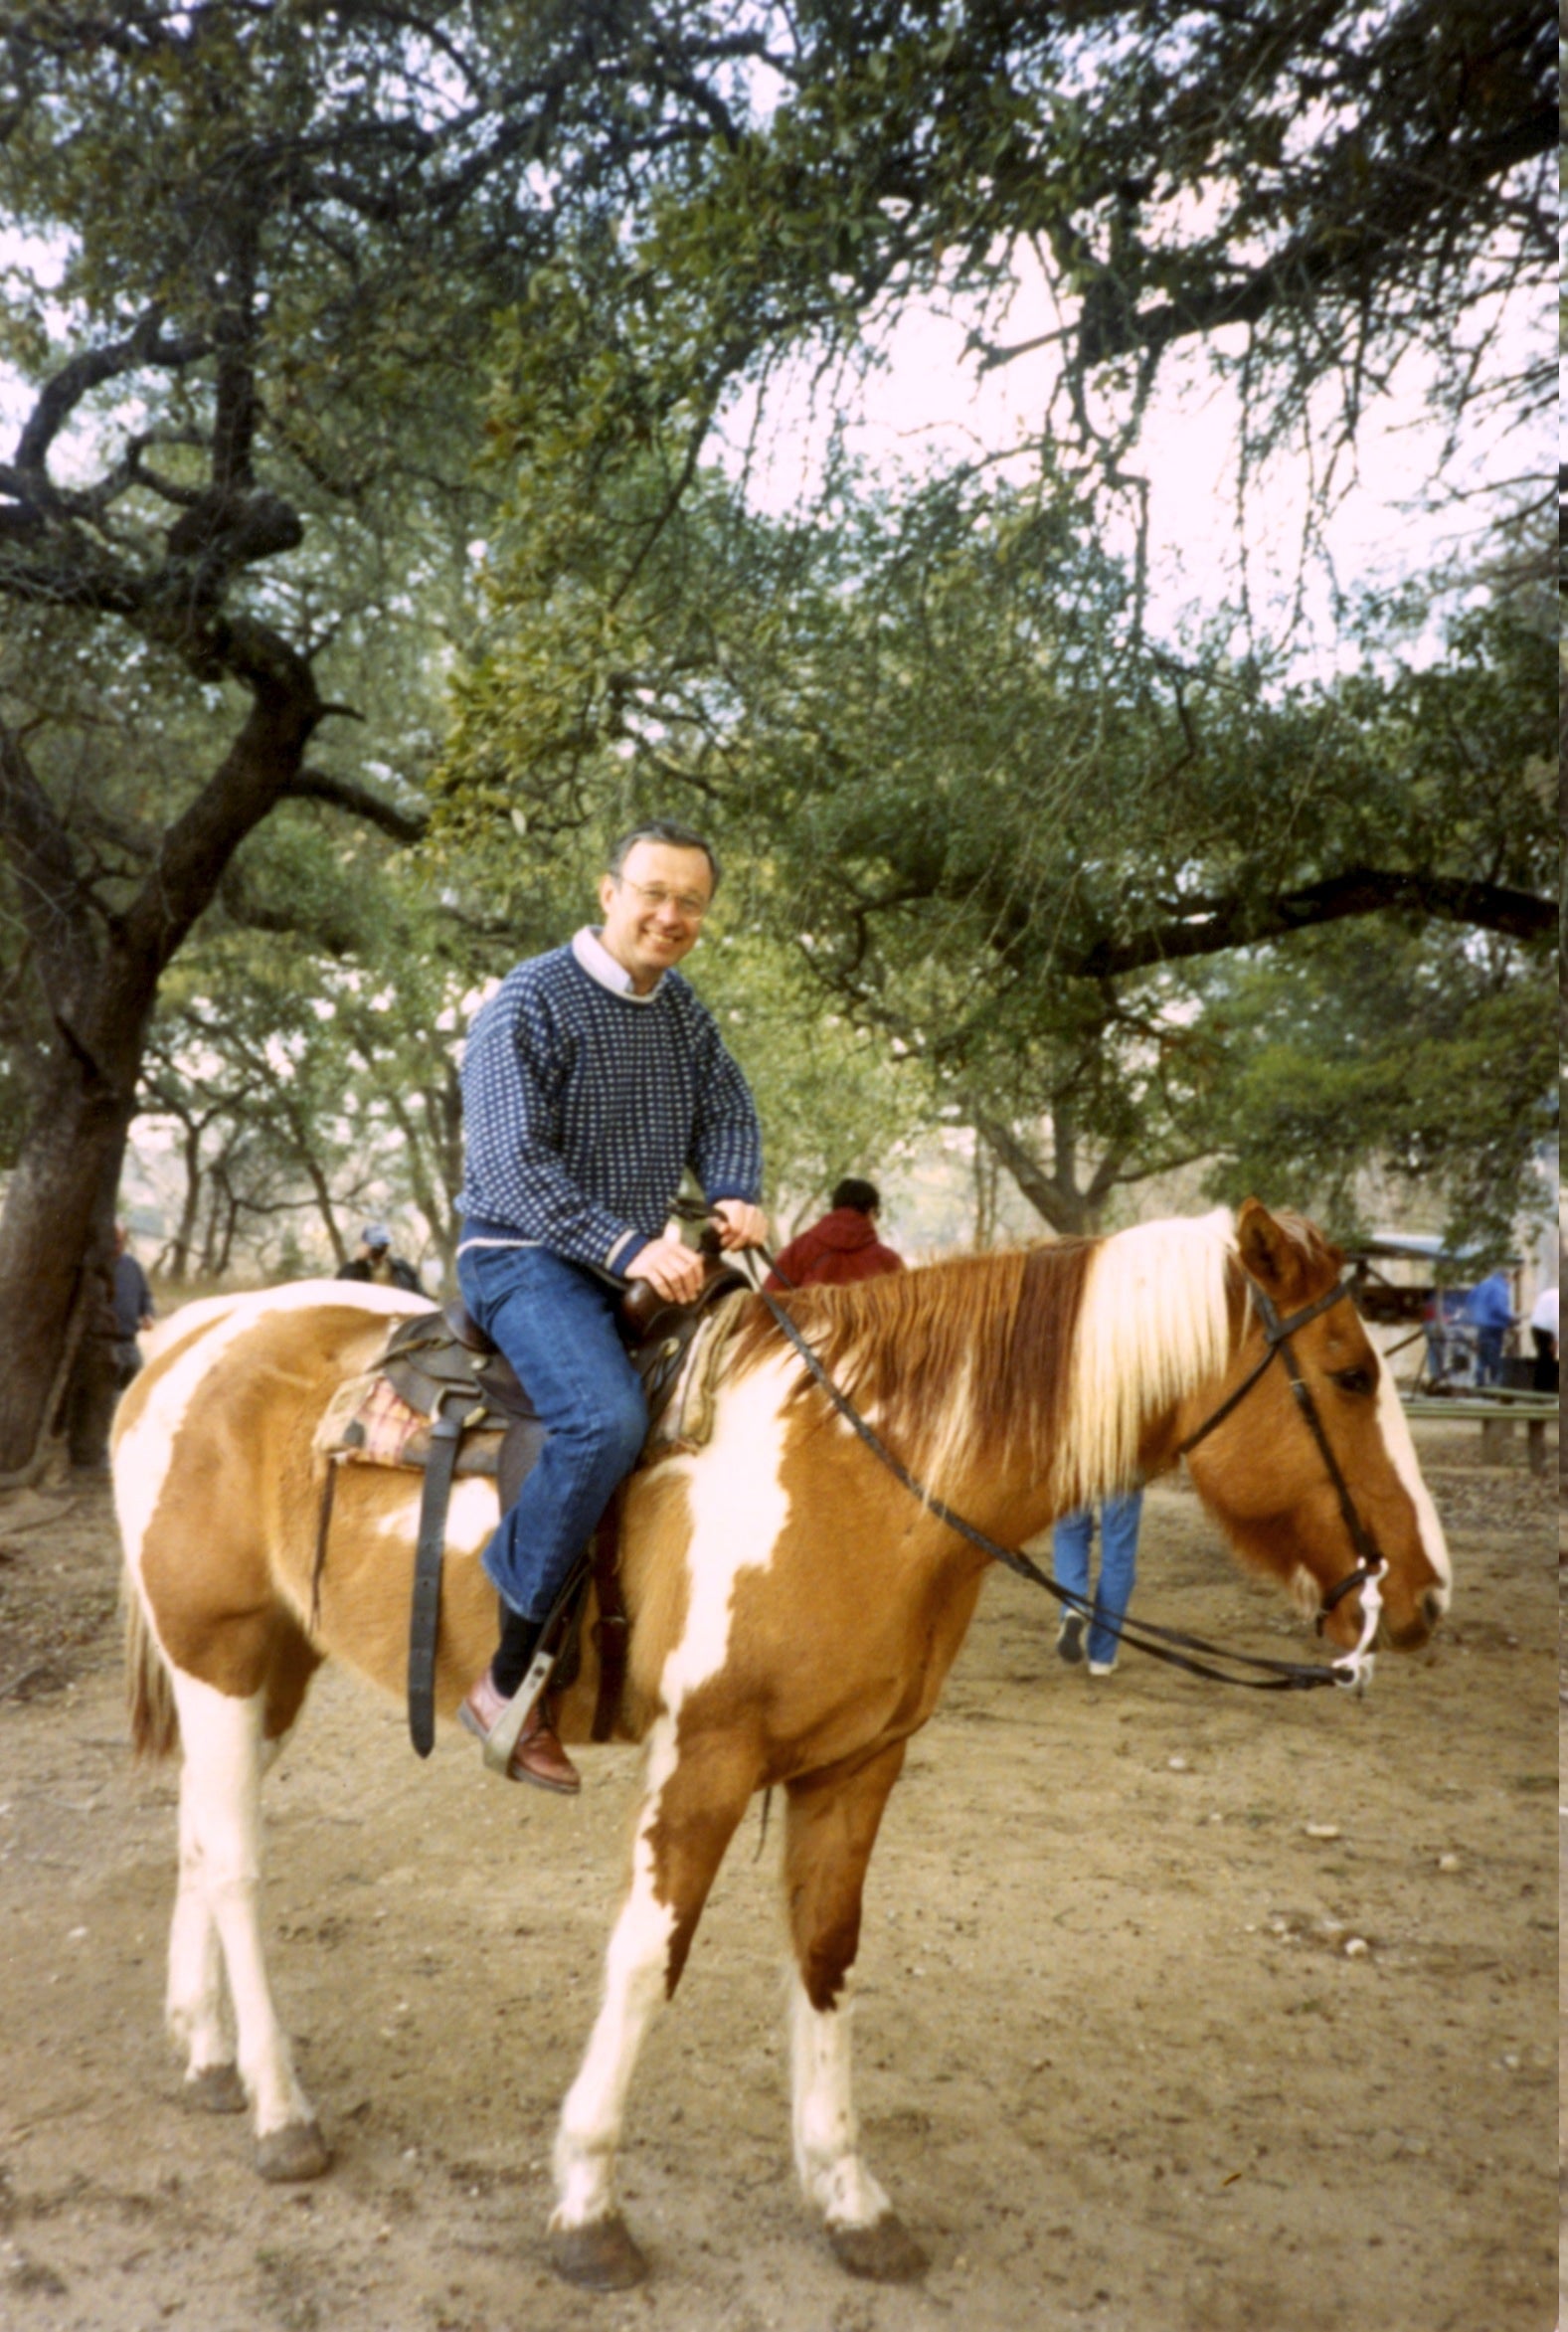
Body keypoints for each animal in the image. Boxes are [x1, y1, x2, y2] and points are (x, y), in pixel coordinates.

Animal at [116, 1212, 1456, 2285]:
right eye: (1346, 1374)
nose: (1425, 1594)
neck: (864, 1467)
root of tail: (189, 1337)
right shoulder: (705, 1759)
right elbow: (646, 1958)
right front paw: (587, 2201)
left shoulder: (855, 1763)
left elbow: (824, 1952)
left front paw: (849, 2199)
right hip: (220, 1656)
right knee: (233, 1862)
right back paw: (280, 2109)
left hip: (267, 1670)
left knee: (194, 1837)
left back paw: (204, 2050)